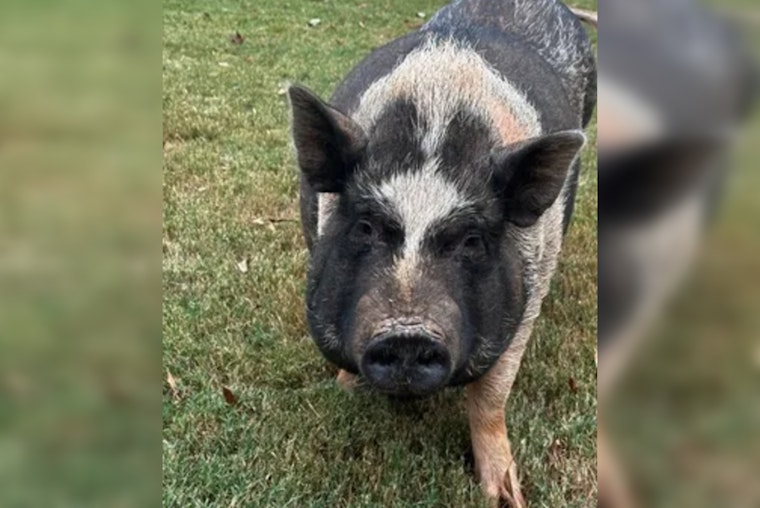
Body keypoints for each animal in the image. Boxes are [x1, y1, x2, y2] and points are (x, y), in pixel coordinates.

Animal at [287, 0, 596, 504]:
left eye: (472, 241)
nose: (407, 332)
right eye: (364, 227)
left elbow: (490, 398)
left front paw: (504, 495)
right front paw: (343, 391)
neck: (436, 119)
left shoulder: (528, 297)